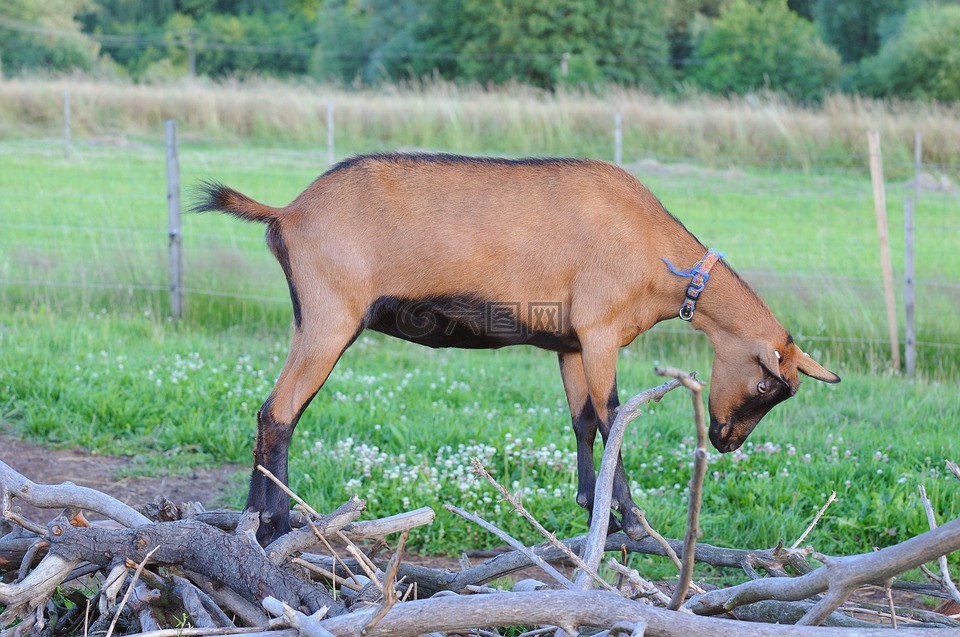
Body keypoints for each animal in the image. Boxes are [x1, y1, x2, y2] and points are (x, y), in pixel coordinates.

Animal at [197, 153, 840, 540]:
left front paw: (592, 506)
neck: (657, 253)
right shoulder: (601, 331)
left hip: (310, 321)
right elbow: (615, 416)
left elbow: (583, 421)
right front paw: (631, 519)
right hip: (331, 319)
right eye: (767, 382)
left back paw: (256, 518)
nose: (727, 441)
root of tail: (288, 211)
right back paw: (276, 522)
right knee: (281, 410)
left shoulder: (571, 343)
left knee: (271, 409)